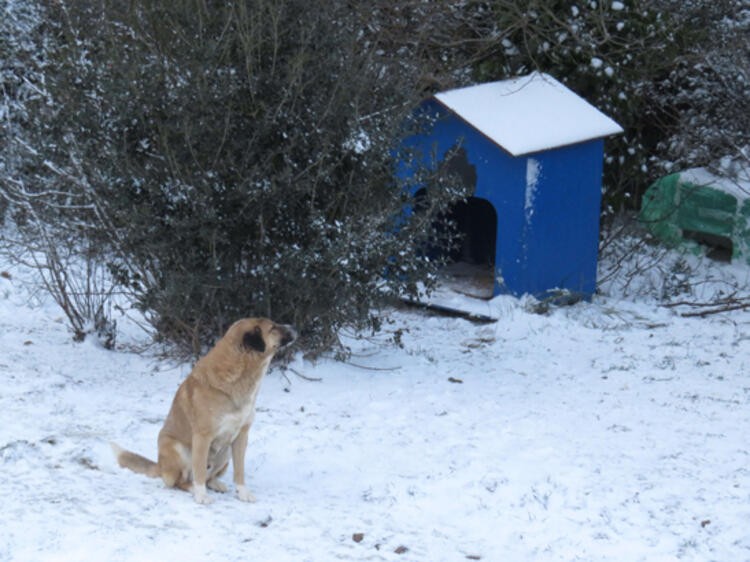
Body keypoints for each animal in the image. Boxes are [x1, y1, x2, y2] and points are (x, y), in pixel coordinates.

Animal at [111, 316, 296, 504]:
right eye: (273, 327)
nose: (293, 327)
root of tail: (160, 466)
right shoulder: (202, 436)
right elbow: (199, 470)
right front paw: (201, 496)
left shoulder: (242, 436)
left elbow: (240, 471)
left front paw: (243, 493)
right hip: (178, 449)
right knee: (181, 481)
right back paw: (193, 488)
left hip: (226, 452)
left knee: (209, 477)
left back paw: (216, 484)